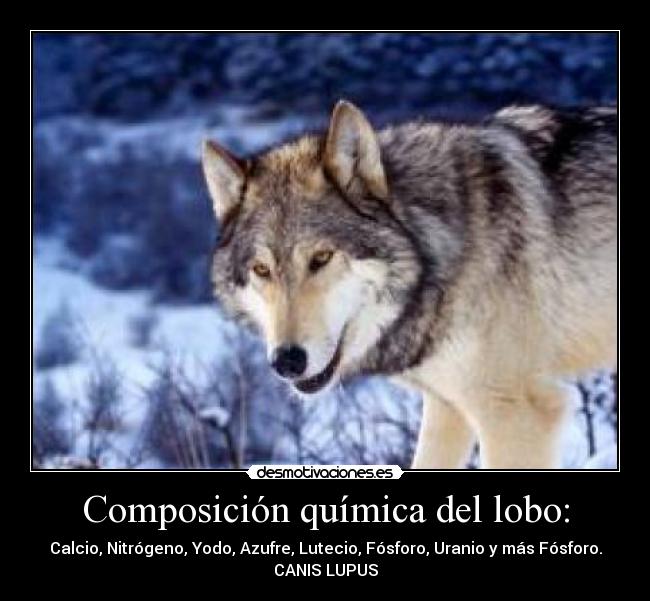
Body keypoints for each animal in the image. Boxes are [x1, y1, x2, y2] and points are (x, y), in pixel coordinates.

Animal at [201, 100, 617, 469]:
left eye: (321, 258)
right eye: (262, 270)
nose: (287, 361)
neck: (441, 250)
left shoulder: (517, 413)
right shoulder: (448, 407)